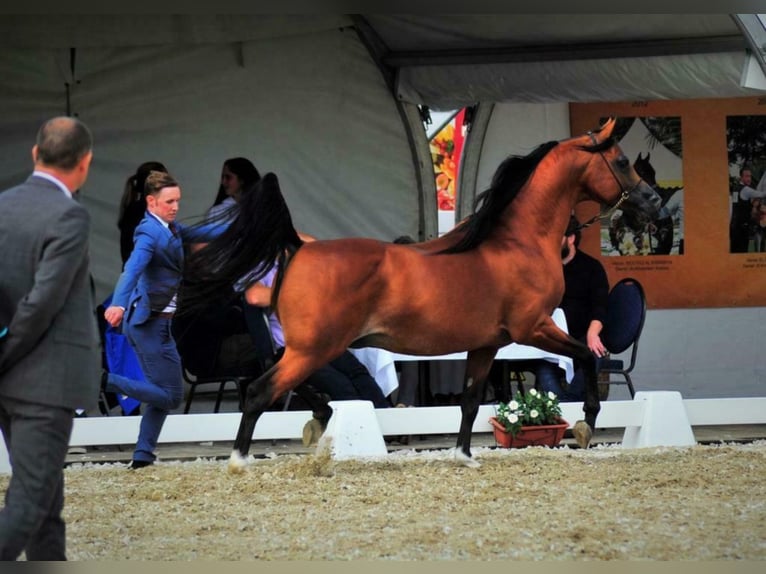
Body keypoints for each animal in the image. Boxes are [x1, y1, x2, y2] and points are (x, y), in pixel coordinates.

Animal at [183, 117, 664, 472]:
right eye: (622, 161)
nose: (653, 202)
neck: (516, 242)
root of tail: (299, 246)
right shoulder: (534, 328)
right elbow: (585, 356)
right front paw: (585, 424)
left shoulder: (487, 345)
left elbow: (470, 401)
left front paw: (464, 456)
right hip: (317, 348)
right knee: (260, 390)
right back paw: (241, 459)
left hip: (308, 347)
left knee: (278, 382)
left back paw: (318, 423)